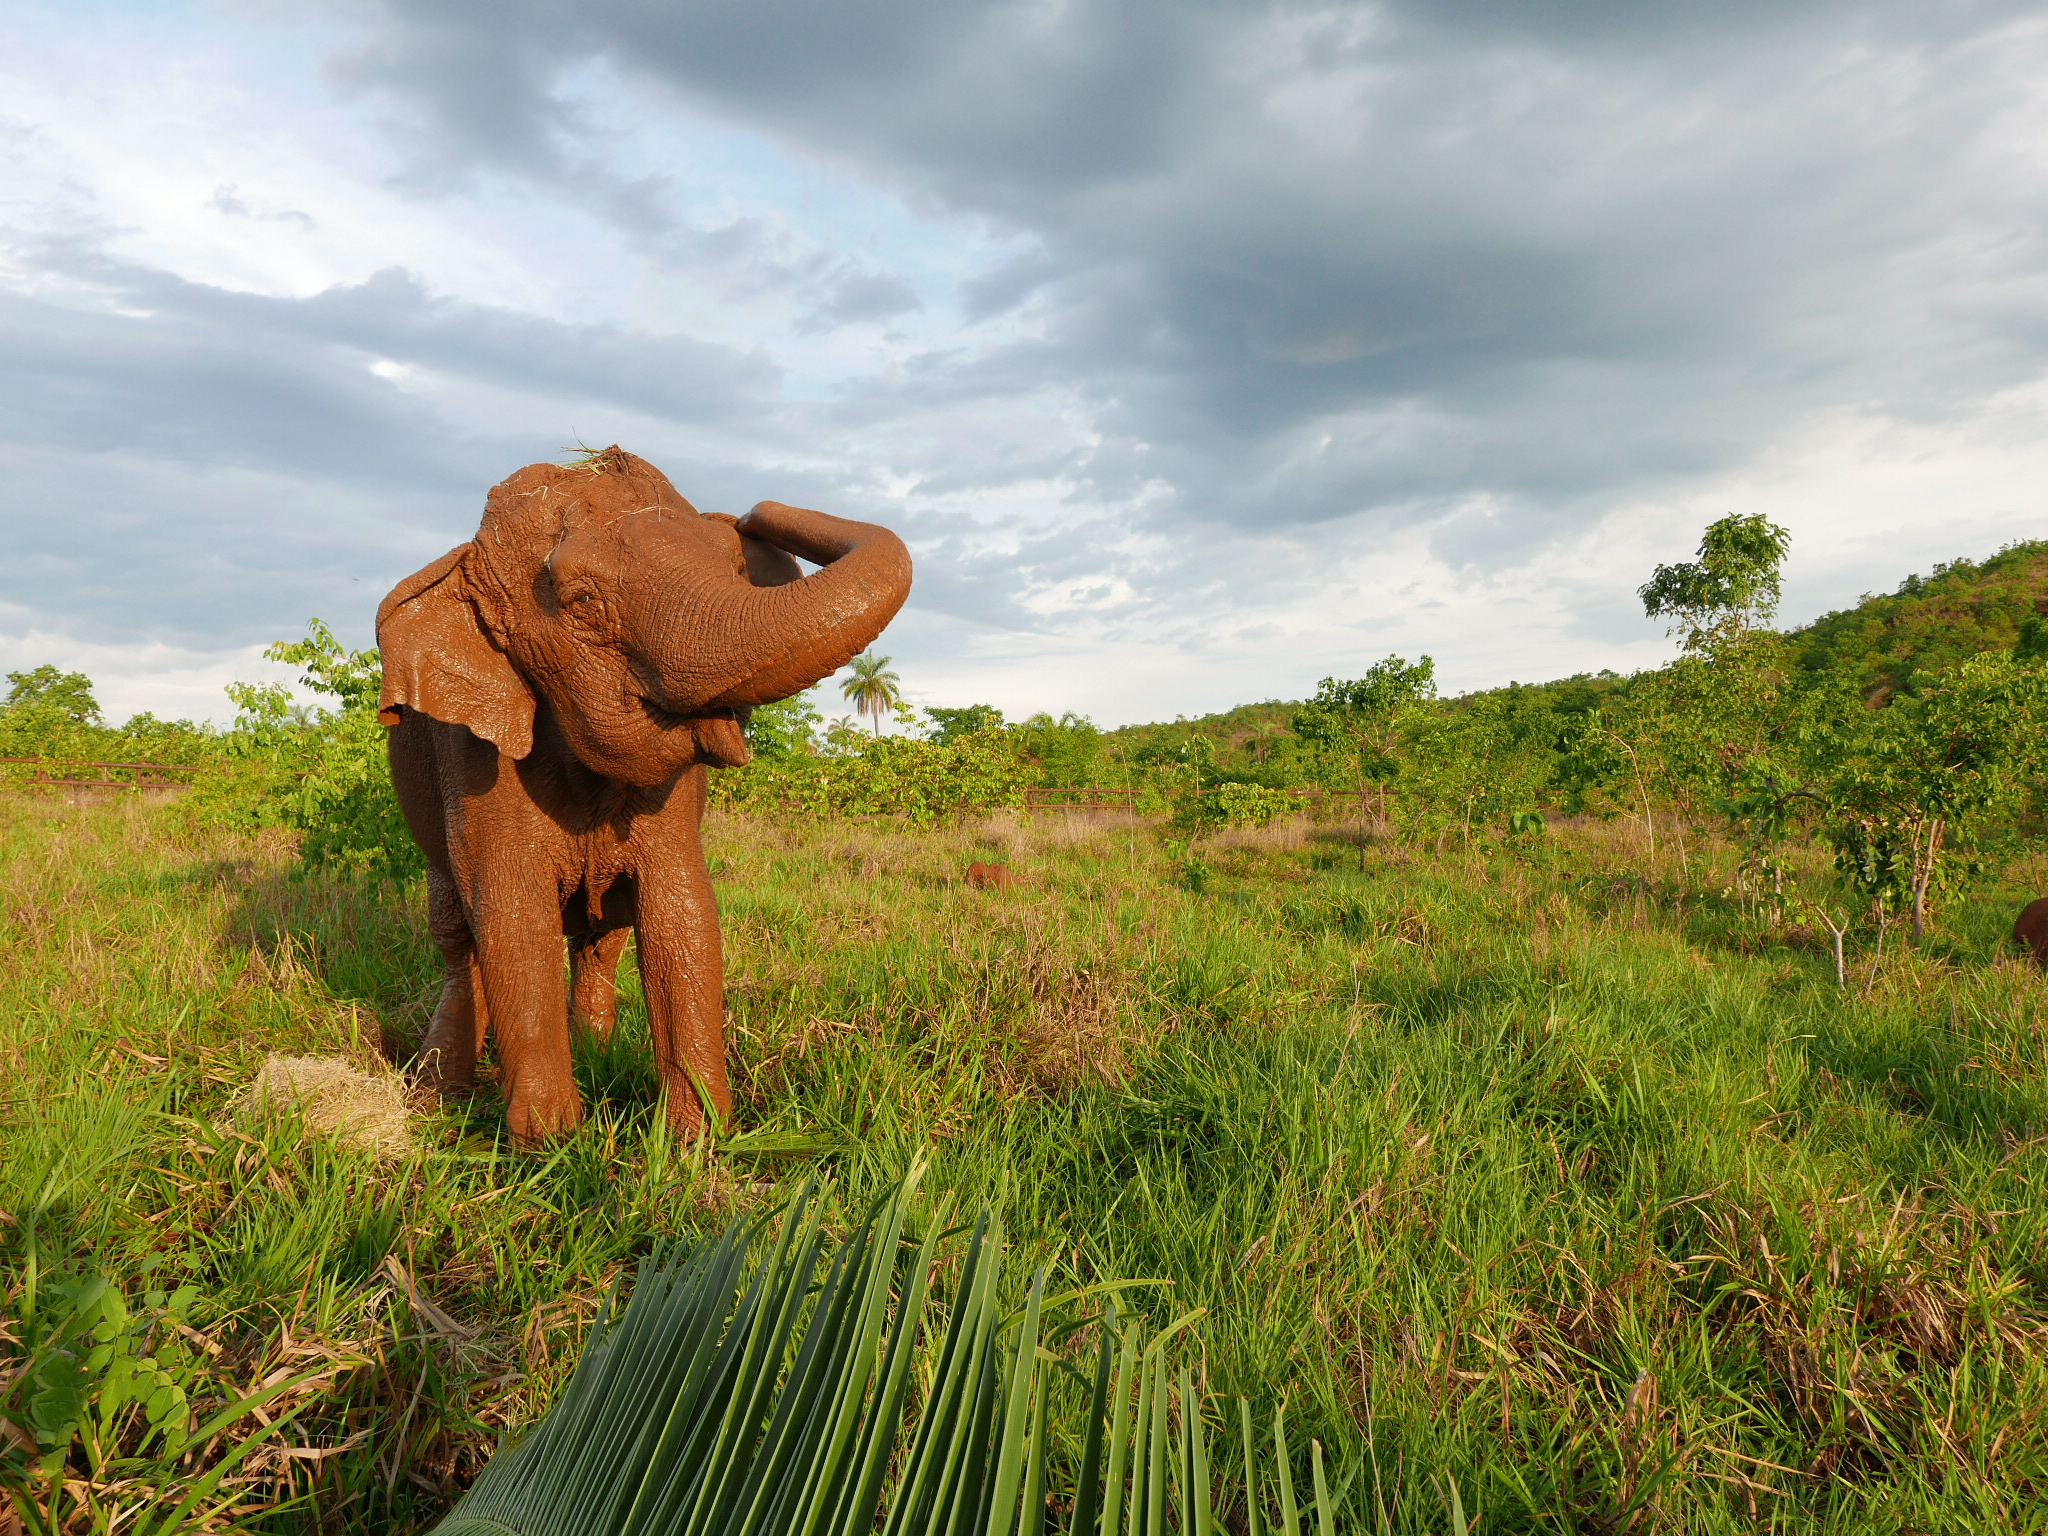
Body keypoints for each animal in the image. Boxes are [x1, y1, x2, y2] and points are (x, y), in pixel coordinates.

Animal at [374, 444, 913, 1146]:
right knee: (458, 939)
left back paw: (593, 1056)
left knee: (601, 938)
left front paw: (694, 1143)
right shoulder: (470, 752)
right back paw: (437, 1099)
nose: (752, 512)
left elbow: (680, 908)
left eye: (734, 560)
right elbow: (512, 913)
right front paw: (550, 1146)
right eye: (580, 601)